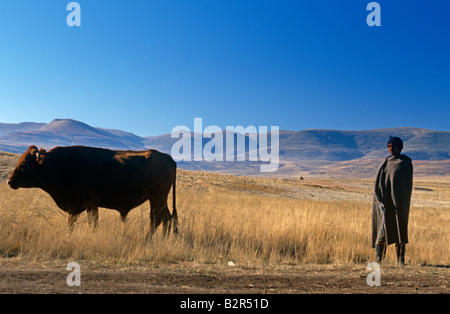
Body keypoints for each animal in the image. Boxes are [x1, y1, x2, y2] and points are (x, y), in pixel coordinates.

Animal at [6, 146, 178, 237]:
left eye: (25, 163)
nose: (9, 181)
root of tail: (167, 158)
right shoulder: (76, 207)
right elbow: (71, 223)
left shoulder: (91, 204)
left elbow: (93, 223)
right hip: (161, 199)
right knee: (167, 218)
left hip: (156, 198)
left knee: (156, 219)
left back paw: (147, 240)